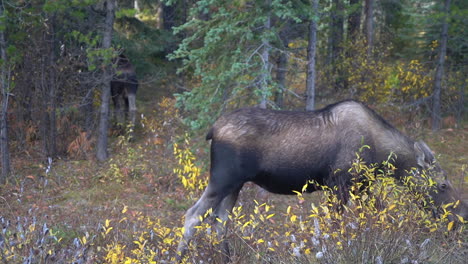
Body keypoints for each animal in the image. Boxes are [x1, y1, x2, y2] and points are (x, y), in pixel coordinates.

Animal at [177, 100, 466, 258]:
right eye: (443, 184)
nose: (461, 216)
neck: (381, 154)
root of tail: (213, 129)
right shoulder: (339, 184)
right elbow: (334, 227)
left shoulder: (361, 186)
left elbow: (374, 216)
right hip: (223, 178)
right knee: (193, 214)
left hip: (235, 184)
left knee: (219, 220)